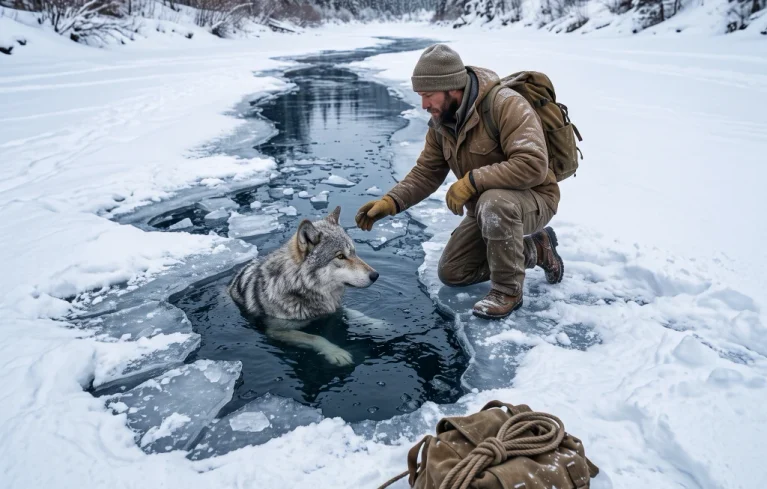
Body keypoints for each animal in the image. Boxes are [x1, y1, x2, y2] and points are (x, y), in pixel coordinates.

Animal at [228, 206, 380, 366]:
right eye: (340, 256)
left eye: (354, 252)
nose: (375, 275)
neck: (300, 286)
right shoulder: (277, 331)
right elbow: (315, 337)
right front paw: (336, 352)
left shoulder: (334, 308)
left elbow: (355, 312)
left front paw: (377, 323)